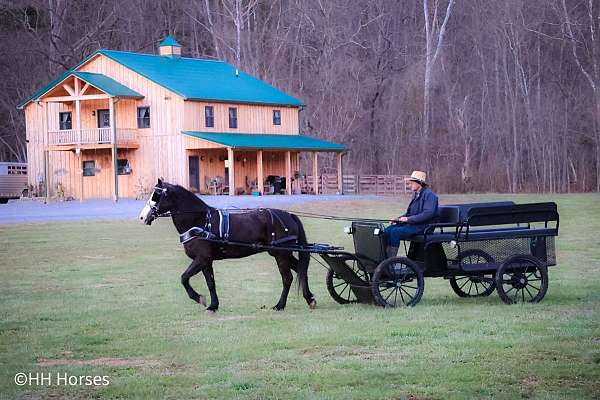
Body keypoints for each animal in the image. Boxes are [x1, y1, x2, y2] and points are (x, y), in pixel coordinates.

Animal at [139, 178, 316, 312]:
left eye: (156, 195)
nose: (142, 217)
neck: (201, 221)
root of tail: (289, 216)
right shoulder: (206, 261)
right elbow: (210, 283)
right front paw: (213, 305)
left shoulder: (201, 258)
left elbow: (184, 278)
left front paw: (199, 298)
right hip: (282, 253)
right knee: (301, 269)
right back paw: (310, 299)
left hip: (281, 254)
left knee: (288, 278)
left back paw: (280, 305)